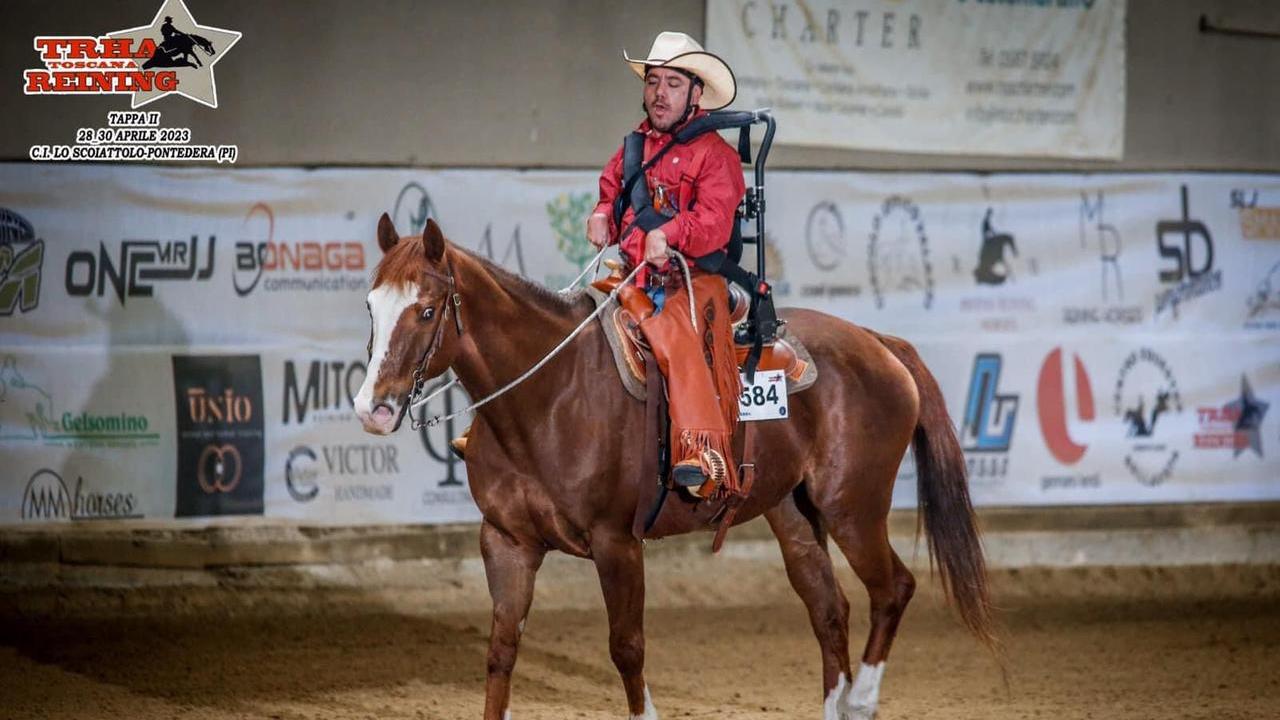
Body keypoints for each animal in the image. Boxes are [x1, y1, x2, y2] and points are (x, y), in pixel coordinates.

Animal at [354, 215, 996, 720]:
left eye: (427, 310)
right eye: (370, 306)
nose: (372, 408)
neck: (550, 393)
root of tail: (876, 340)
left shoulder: (617, 542)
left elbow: (627, 647)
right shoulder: (506, 542)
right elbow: (501, 649)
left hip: (853, 508)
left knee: (892, 589)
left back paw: (862, 700)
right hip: (793, 512)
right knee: (829, 610)